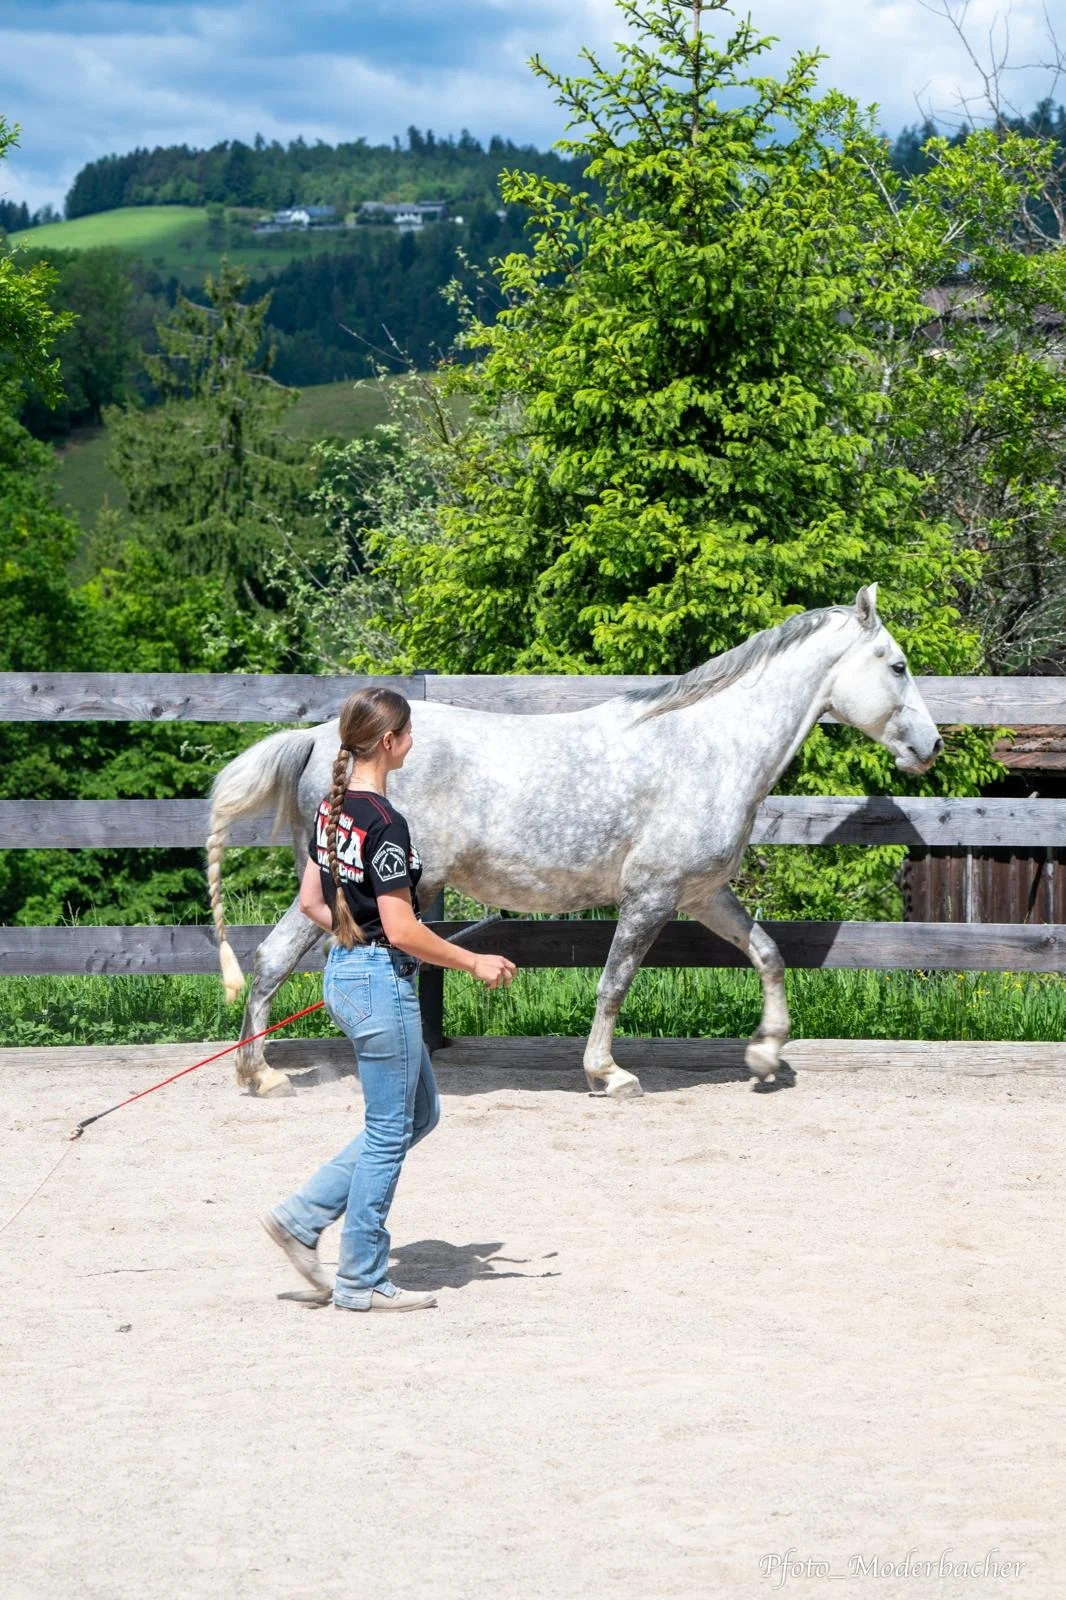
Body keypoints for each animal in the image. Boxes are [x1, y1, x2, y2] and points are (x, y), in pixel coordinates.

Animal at [206, 585, 942, 1099]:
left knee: (271, 959)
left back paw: (259, 1076)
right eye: (898, 666)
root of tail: (320, 738)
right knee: (286, 962)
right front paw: (607, 1075)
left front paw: (765, 1054)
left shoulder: (702, 895)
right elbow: (613, 984)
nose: (931, 747)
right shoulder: (651, 896)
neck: (709, 748)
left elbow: (768, 954)